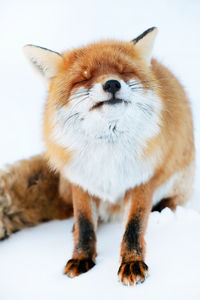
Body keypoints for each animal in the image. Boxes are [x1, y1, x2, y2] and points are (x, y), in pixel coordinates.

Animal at [0, 28, 194, 286]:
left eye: (124, 70)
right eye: (84, 77)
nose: (112, 83)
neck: (108, 150)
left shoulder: (142, 179)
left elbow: (134, 226)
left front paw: (132, 263)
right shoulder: (81, 180)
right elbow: (85, 225)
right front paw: (82, 258)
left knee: (172, 200)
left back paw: (162, 211)